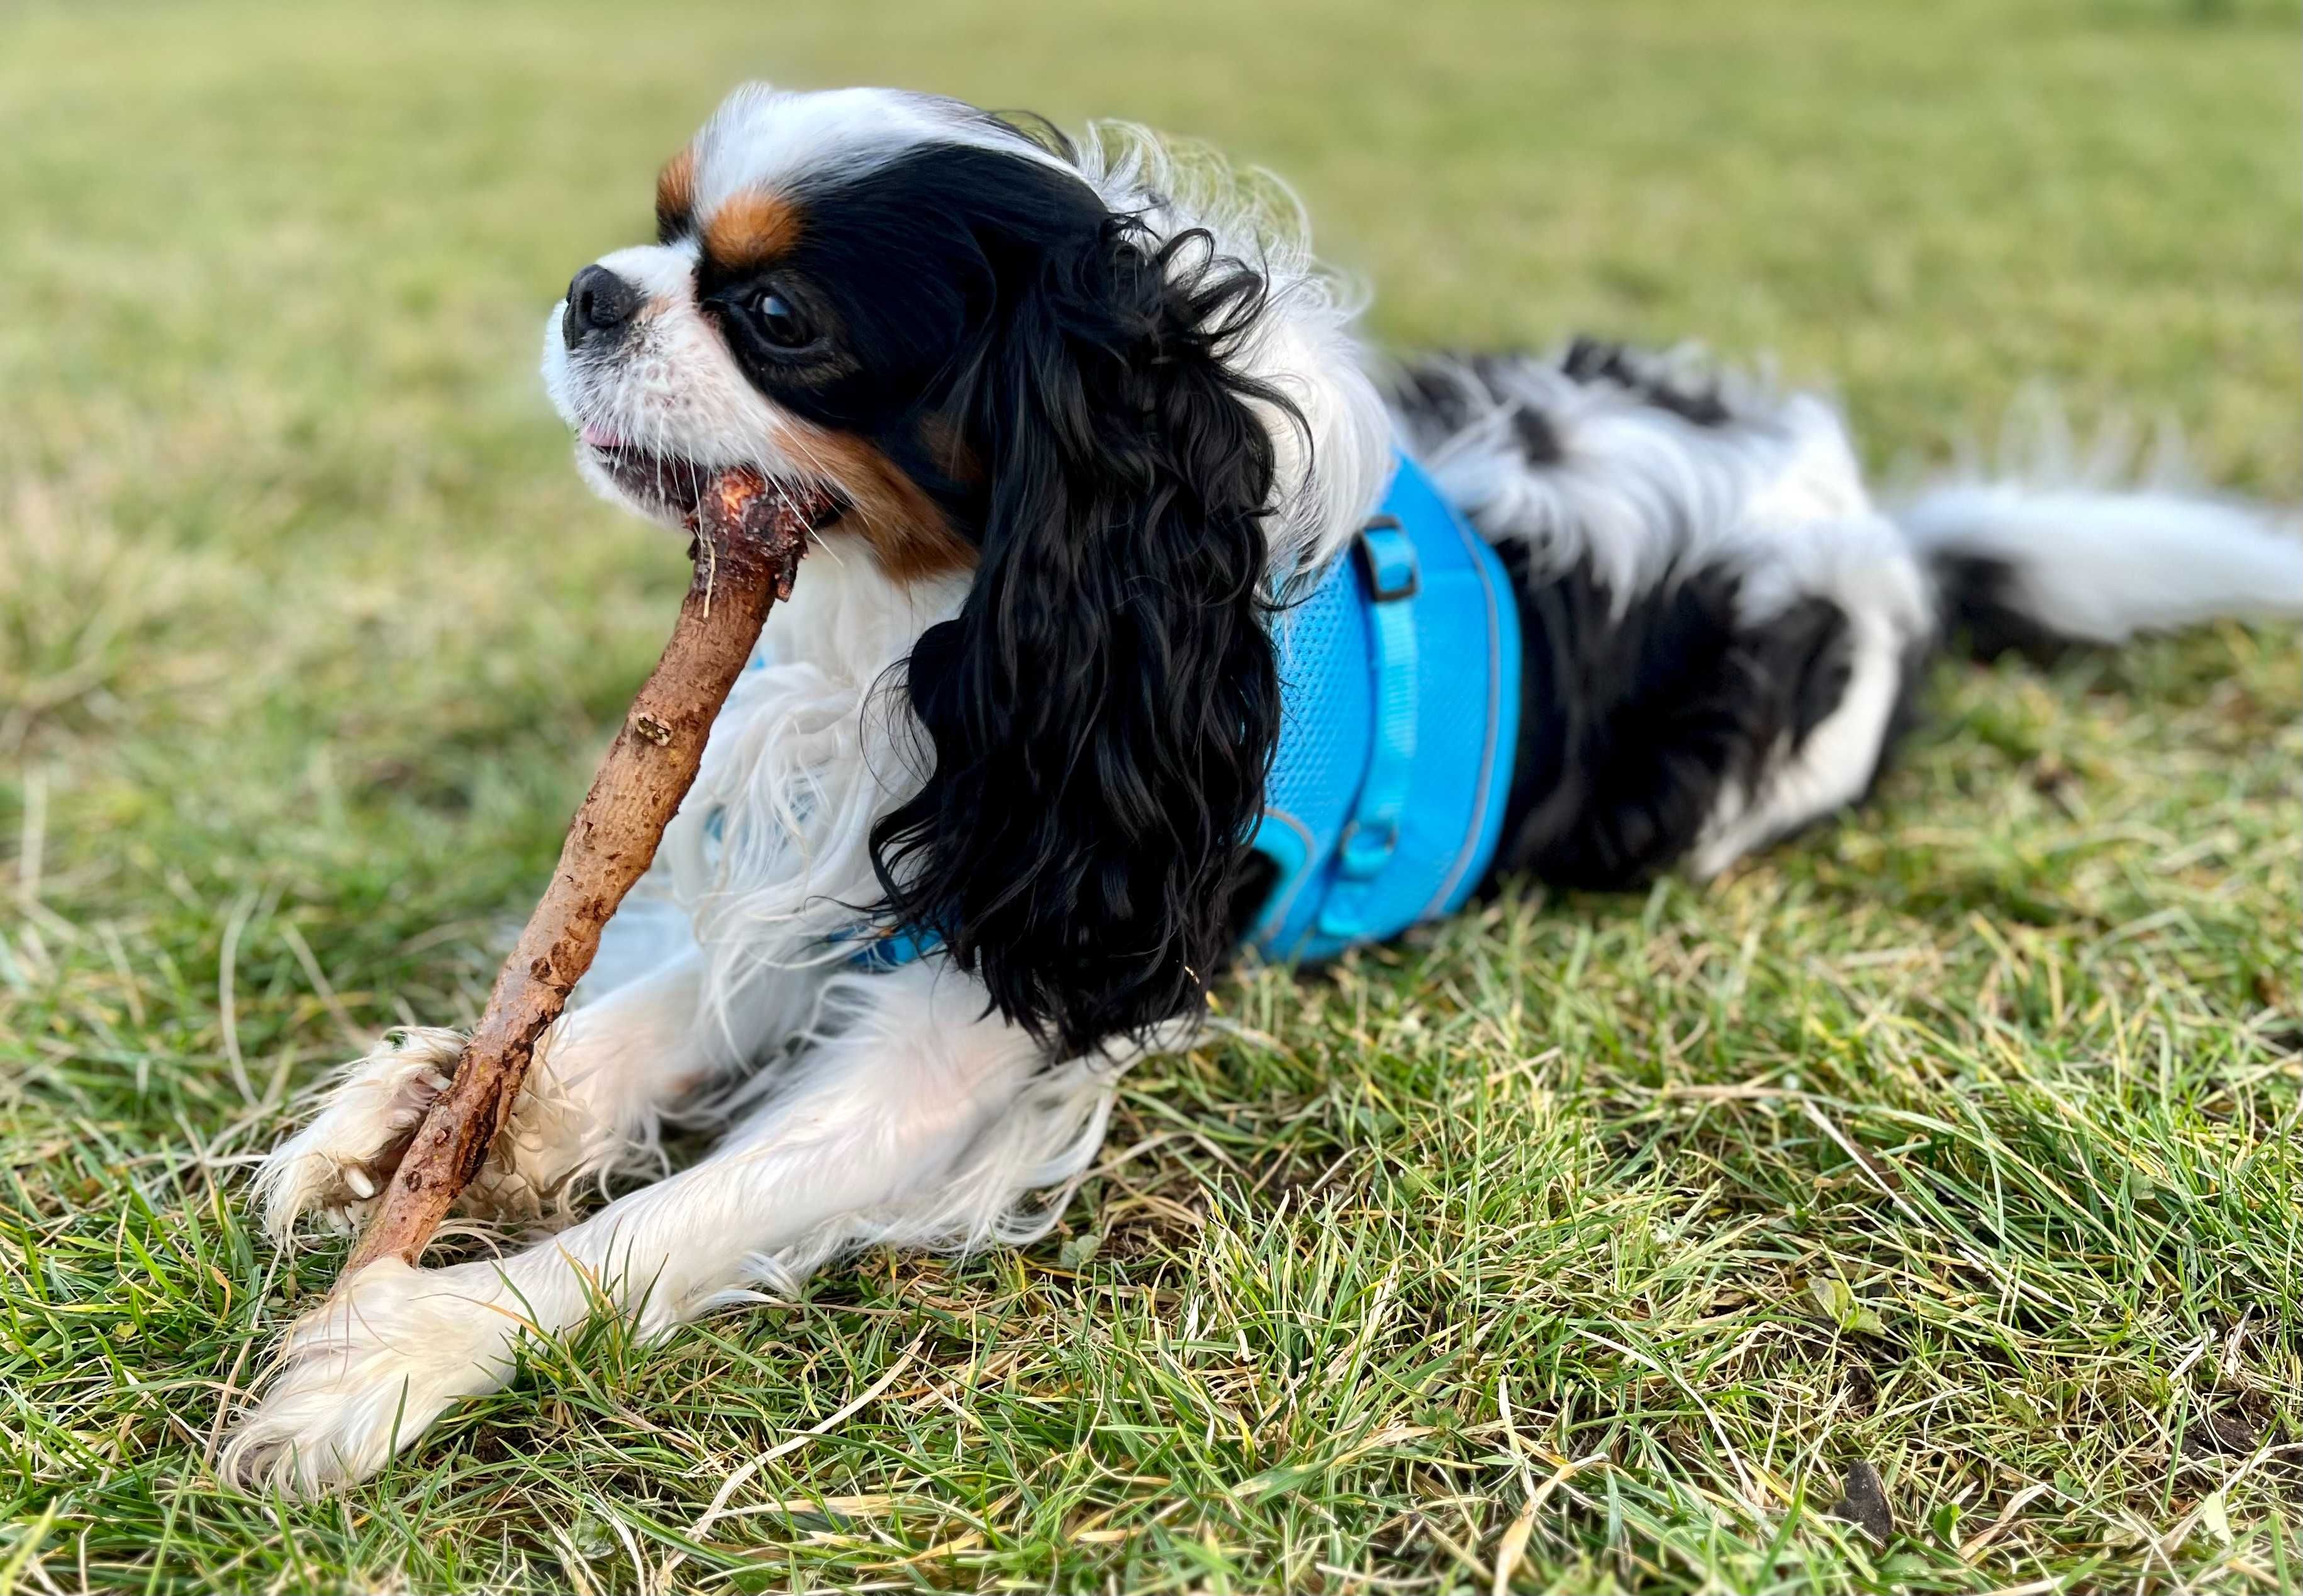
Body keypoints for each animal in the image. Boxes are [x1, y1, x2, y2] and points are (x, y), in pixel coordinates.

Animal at [220, 81, 2303, 1492]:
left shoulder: (1016, 973)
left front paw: (403, 1350)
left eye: (778, 319)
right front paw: (426, 1115)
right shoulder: (897, 836)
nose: (591, 288)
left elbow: (682, 1218)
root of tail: (1884, 538)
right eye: (653, 227)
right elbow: (631, 1015)